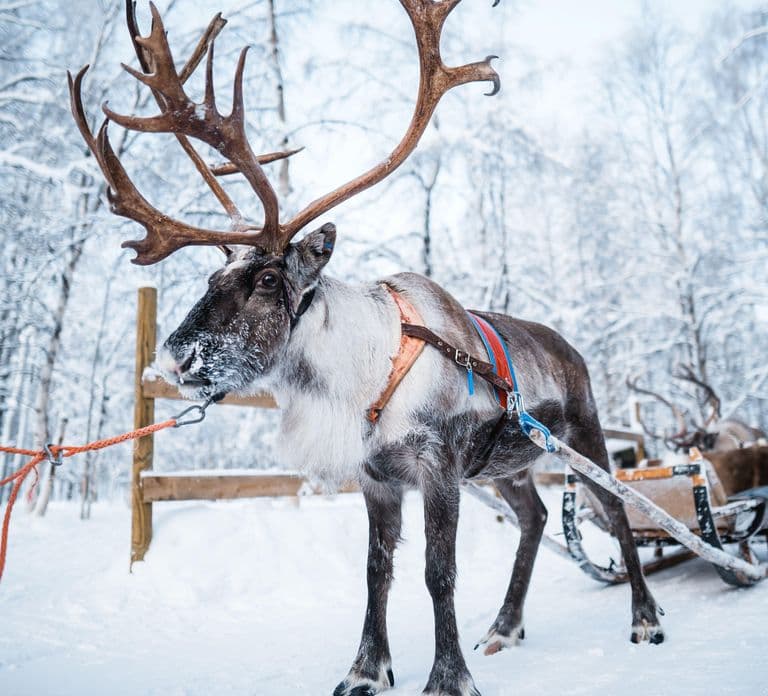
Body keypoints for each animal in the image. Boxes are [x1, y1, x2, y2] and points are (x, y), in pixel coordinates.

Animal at [69, 3, 664, 695]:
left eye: (266, 279)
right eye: (213, 276)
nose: (174, 360)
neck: (364, 376)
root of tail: (572, 348)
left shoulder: (438, 467)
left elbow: (437, 572)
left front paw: (448, 677)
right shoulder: (377, 477)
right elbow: (377, 569)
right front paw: (365, 670)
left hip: (585, 435)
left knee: (619, 510)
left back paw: (644, 618)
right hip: (506, 465)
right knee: (536, 517)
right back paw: (505, 627)